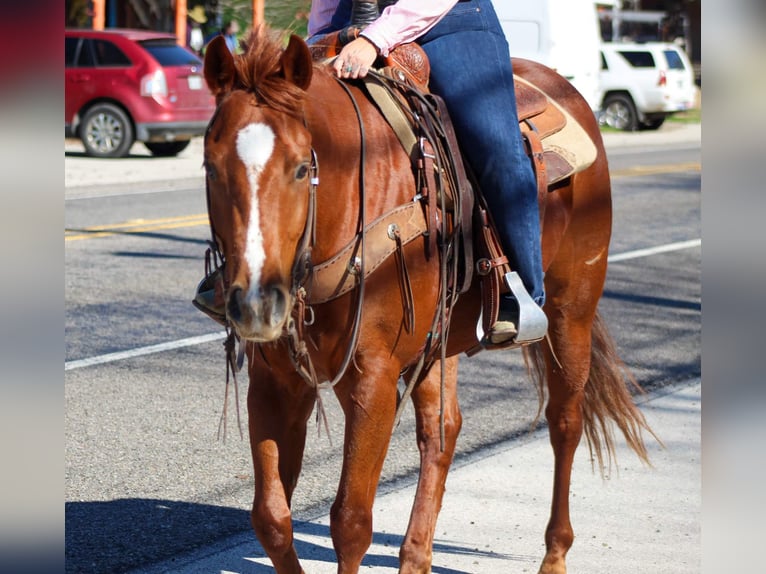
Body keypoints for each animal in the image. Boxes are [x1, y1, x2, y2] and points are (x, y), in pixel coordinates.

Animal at [200, 29, 656, 574]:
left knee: (565, 423)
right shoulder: (277, 380)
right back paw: (416, 556)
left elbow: (350, 522)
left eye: (299, 168)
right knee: (443, 431)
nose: (255, 304)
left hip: (572, 313)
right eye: (210, 167)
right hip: (442, 340)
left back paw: (554, 555)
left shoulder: (372, 380)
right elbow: (271, 519)